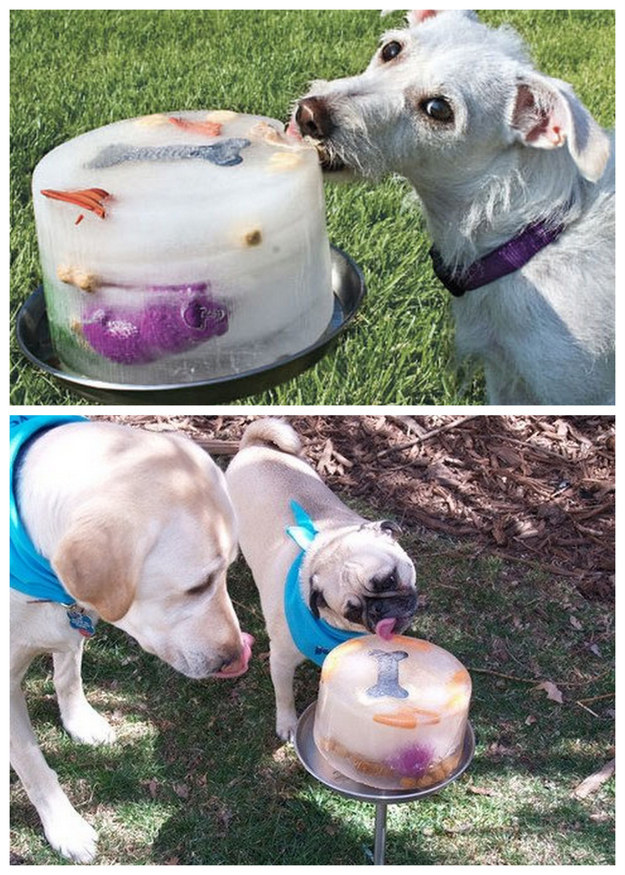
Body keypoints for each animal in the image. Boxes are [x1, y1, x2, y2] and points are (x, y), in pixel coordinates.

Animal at [290, 10, 612, 408]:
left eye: (438, 109)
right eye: (391, 49)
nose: (309, 114)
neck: (530, 236)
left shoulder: (574, 388)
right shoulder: (504, 376)